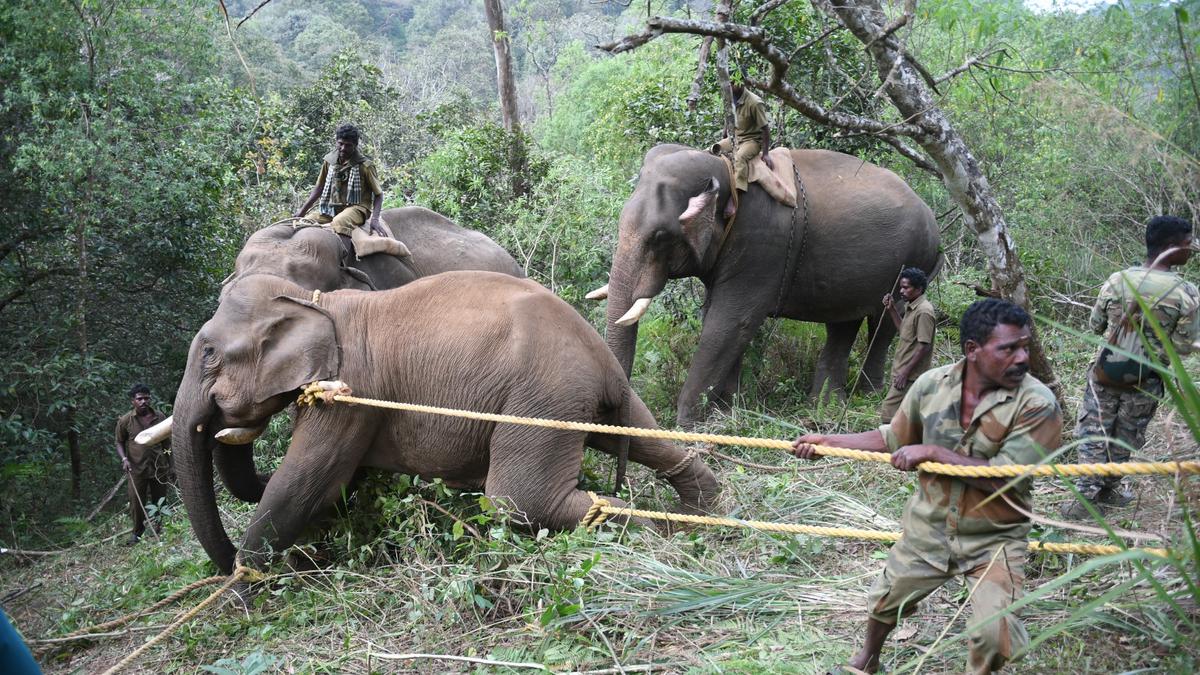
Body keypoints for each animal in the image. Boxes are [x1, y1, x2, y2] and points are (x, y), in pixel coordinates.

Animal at [168, 270, 710, 569]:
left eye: (209, 354)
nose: (220, 419)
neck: (315, 299)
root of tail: (602, 361)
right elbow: (338, 487)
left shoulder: (351, 395)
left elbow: (306, 482)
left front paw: (242, 585)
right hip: (579, 398)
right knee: (645, 435)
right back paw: (696, 516)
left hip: (540, 399)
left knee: (518, 498)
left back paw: (647, 530)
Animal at [595, 144, 940, 425]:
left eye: (660, 237)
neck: (725, 169)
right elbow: (720, 321)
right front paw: (727, 411)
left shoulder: (761, 248)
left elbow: (730, 323)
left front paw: (689, 424)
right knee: (843, 325)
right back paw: (824, 405)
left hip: (913, 260)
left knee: (888, 323)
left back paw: (869, 396)